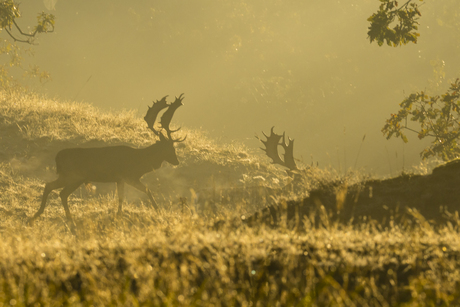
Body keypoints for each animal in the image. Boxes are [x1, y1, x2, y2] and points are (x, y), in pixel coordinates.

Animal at [26, 94, 185, 233]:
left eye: (173, 148)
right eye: (169, 148)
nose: (177, 161)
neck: (140, 161)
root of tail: (57, 157)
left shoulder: (119, 179)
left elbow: (121, 197)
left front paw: (119, 215)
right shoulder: (129, 176)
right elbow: (147, 190)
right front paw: (158, 211)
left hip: (72, 177)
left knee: (56, 189)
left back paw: (41, 217)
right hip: (73, 176)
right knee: (56, 189)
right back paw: (58, 219)